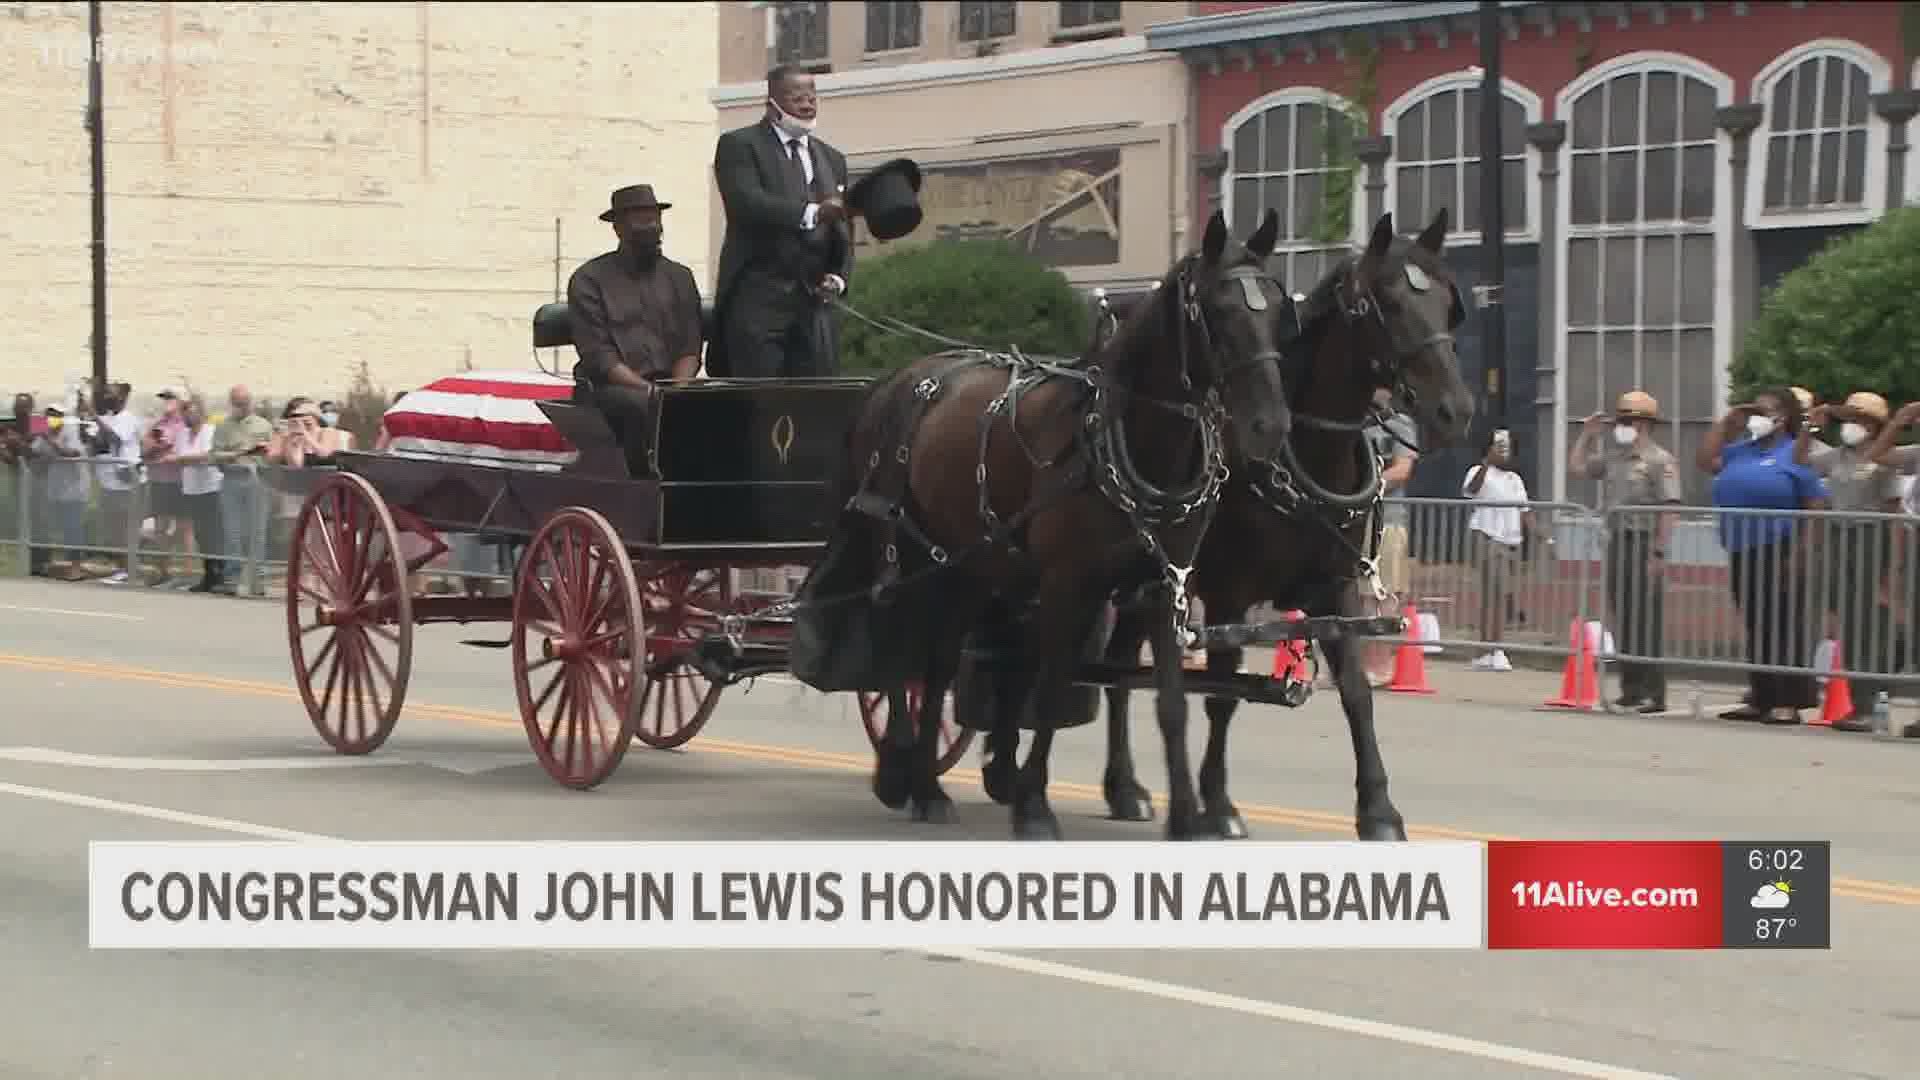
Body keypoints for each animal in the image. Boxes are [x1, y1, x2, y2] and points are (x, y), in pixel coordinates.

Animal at [787, 208, 1297, 834]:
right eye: (1219, 313)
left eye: (1276, 310)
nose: (1270, 426)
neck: (1124, 437)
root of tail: (897, 380)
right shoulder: (1066, 582)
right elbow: (1052, 687)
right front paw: (1033, 803)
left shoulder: (1164, 585)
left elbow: (1171, 703)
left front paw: (1185, 817)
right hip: (909, 558)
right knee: (903, 653)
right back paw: (904, 774)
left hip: (969, 565)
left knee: (941, 661)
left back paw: (927, 784)